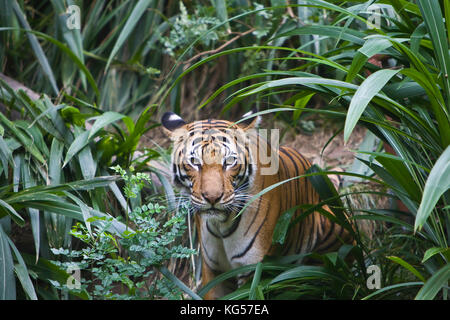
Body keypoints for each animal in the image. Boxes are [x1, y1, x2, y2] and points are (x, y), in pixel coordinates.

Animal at [162, 109, 356, 298]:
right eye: (194, 162)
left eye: (229, 161)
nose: (212, 197)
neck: (220, 225)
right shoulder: (214, 270)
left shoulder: (254, 268)